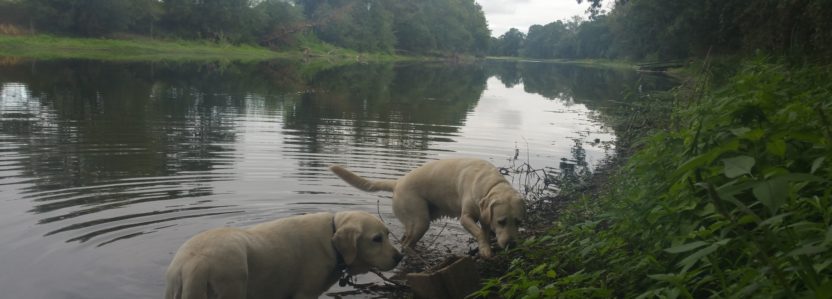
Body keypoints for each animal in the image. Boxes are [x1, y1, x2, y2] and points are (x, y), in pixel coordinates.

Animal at [163, 211, 404, 299]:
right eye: (376, 239)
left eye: (387, 234)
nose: (400, 257)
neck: (331, 239)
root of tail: (192, 263)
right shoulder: (305, 294)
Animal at [328, 158, 524, 258]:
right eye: (501, 221)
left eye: (518, 222)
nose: (512, 244)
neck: (490, 185)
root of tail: (397, 183)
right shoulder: (465, 217)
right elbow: (480, 233)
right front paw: (485, 250)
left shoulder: (485, 218)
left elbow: (484, 231)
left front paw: (486, 248)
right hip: (421, 221)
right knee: (406, 244)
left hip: (415, 223)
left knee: (405, 239)